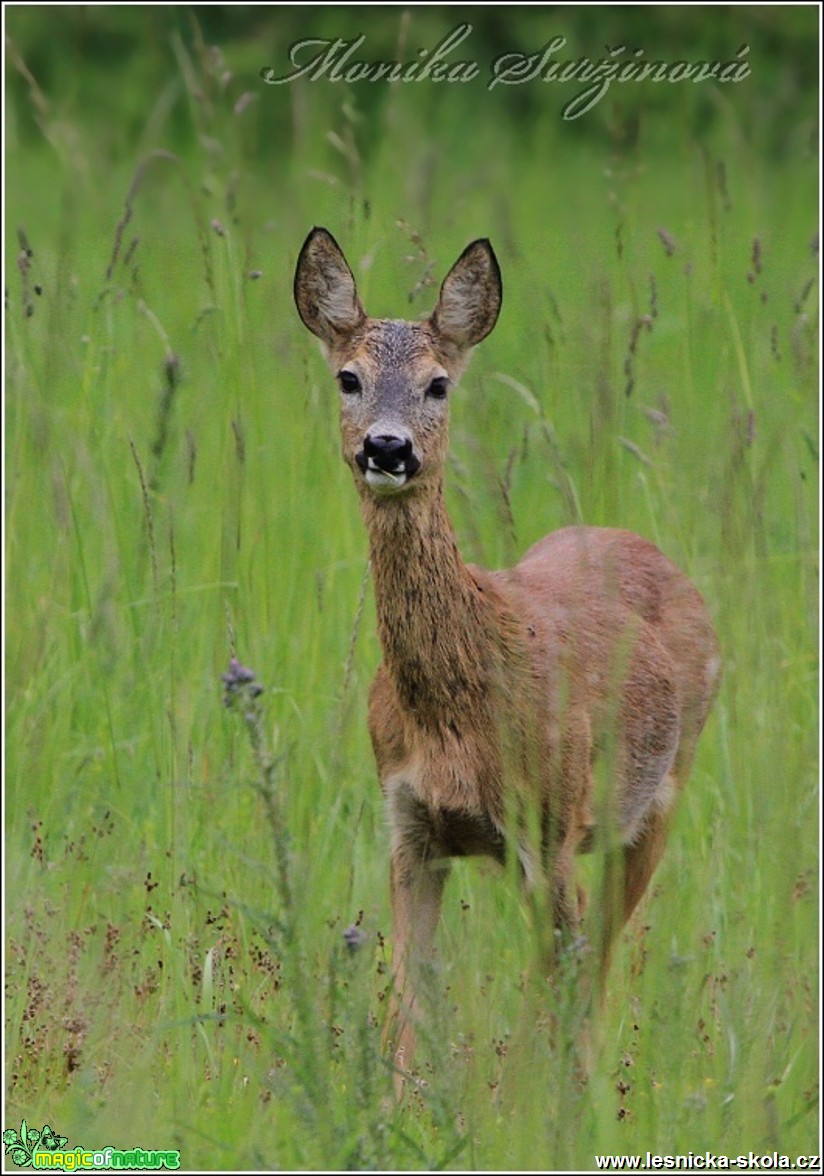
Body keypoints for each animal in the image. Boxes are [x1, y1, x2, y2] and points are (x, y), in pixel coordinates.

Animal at [293, 224, 719, 1086]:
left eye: (439, 385)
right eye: (349, 378)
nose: (387, 449)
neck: (455, 709)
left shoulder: (546, 833)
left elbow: (552, 1007)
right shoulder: (409, 828)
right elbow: (407, 1012)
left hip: (657, 800)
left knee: (592, 979)